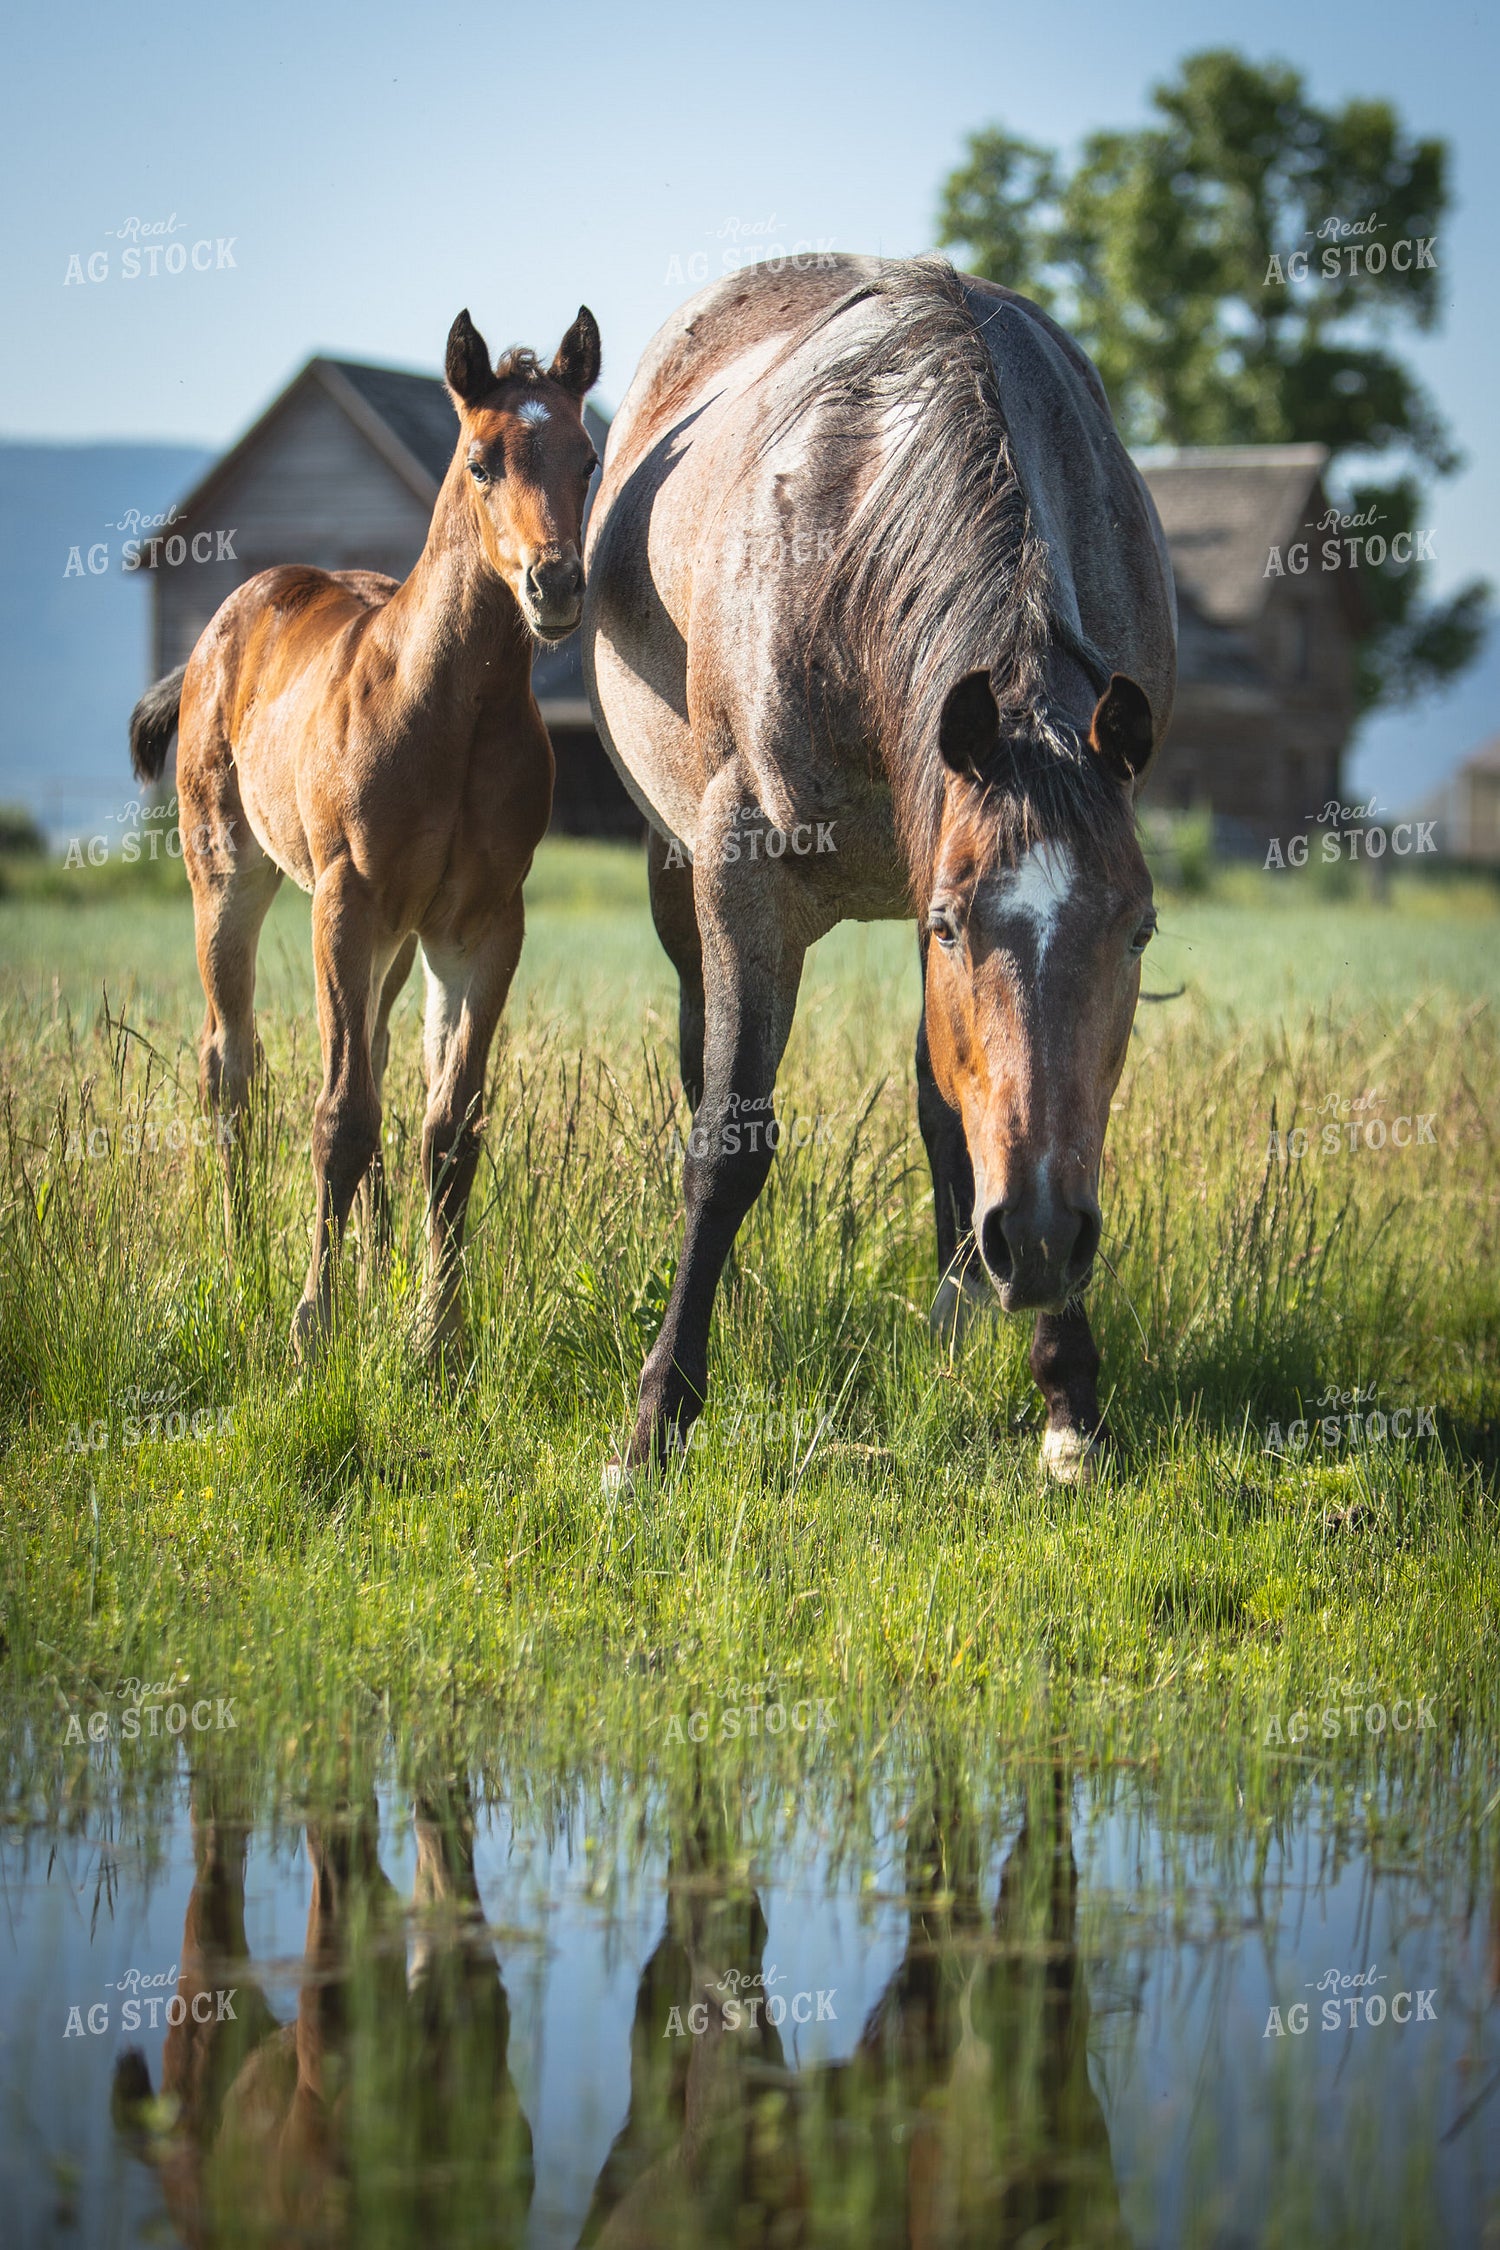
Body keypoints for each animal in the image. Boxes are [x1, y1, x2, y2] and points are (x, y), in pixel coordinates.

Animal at [128, 305, 602, 1360]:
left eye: (589, 460)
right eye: (480, 461)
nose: (555, 585)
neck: (451, 709)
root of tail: (226, 622)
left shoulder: (479, 926)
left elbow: (448, 1127)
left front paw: (437, 1333)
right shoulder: (347, 902)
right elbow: (340, 1117)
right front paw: (313, 1324)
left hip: (393, 940)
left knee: (378, 1060)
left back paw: (376, 1266)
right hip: (231, 877)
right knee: (230, 1061)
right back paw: (243, 1257)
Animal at [582, 254, 1175, 1483]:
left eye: (1138, 931)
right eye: (956, 926)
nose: (1036, 1240)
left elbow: (992, 1106)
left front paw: (1069, 1403)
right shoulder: (745, 878)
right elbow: (728, 1138)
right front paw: (659, 1416)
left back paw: (961, 1299)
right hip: (676, 870)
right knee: (699, 1068)